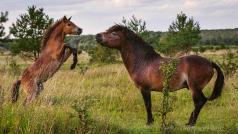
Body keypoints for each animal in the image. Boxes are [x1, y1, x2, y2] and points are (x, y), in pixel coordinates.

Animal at [95, 24, 225, 125]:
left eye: (114, 33)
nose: (97, 36)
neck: (143, 61)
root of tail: (209, 62)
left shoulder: (145, 89)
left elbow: (148, 105)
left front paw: (149, 122)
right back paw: (189, 122)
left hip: (195, 88)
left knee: (199, 102)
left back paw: (191, 123)